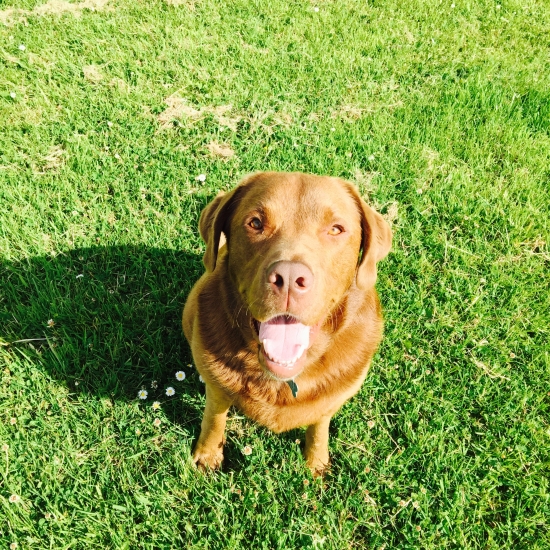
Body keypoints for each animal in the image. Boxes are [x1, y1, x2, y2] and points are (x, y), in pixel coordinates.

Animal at [183, 171, 394, 474]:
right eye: (255, 223)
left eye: (335, 229)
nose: (290, 278)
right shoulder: (216, 387)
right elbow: (214, 417)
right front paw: (208, 454)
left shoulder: (332, 400)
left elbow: (319, 426)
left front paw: (316, 462)